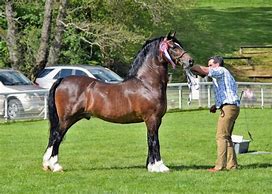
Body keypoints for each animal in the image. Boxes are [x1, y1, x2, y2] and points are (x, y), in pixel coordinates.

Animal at [43, 32, 193, 173]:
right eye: (173, 47)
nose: (190, 61)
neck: (146, 84)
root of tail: (62, 80)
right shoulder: (152, 119)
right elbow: (154, 140)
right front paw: (159, 166)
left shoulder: (155, 120)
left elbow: (150, 140)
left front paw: (150, 165)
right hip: (67, 119)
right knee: (57, 137)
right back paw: (55, 166)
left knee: (53, 137)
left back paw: (47, 164)